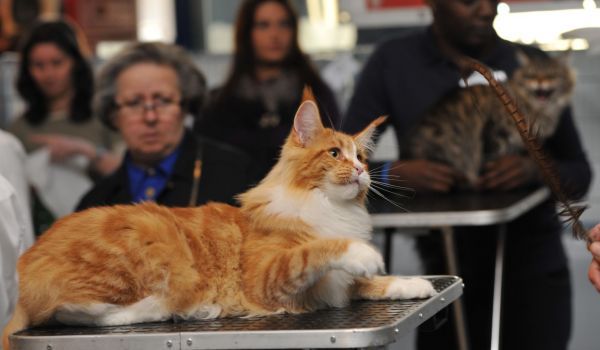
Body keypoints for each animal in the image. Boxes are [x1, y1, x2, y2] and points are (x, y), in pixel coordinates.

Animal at [1, 91, 436, 350]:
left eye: (360, 157)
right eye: (334, 154)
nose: (362, 172)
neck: (330, 208)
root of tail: (26, 258)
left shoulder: (337, 286)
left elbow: (372, 283)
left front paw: (412, 282)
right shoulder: (270, 276)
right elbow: (320, 251)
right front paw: (361, 252)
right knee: (73, 312)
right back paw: (166, 309)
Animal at [406, 50, 576, 189]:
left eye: (552, 76)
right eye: (531, 76)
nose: (540, 82)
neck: (539, 111)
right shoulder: (494, 133)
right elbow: (490, 161)